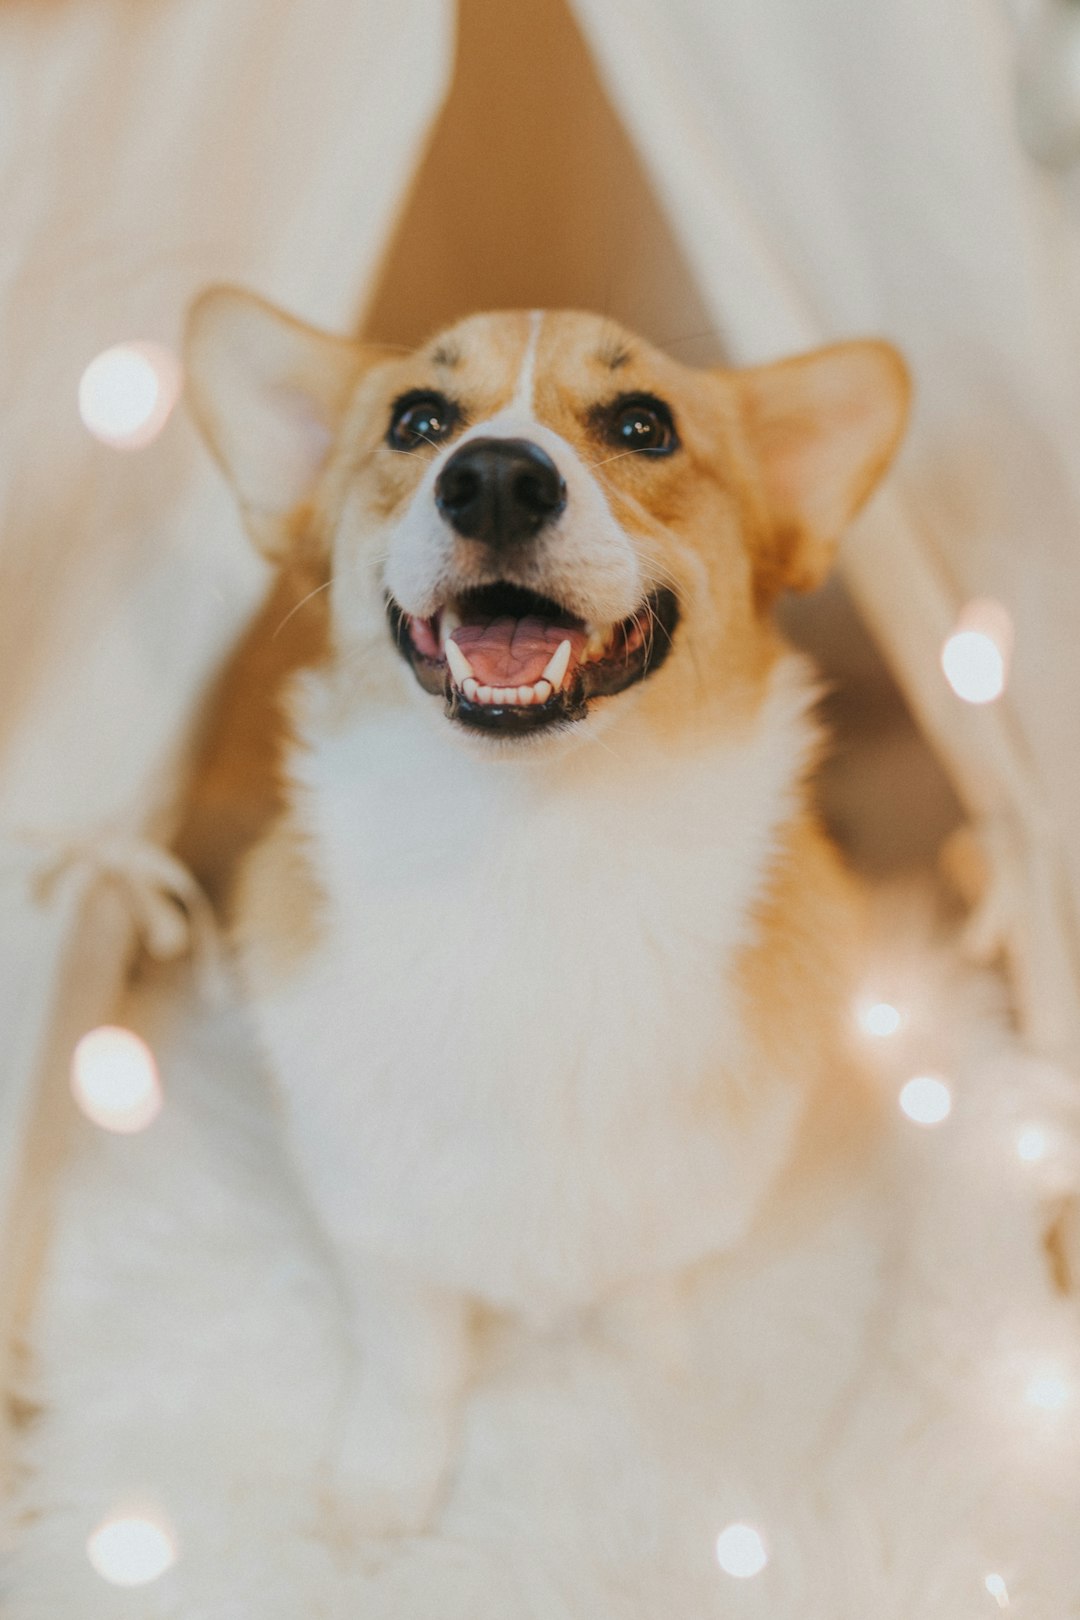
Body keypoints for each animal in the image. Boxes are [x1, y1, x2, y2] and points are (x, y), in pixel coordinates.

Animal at [186, 291, 913, 1529]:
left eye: (644, 425)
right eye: (416, 420)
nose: (493, 479)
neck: (533, 849)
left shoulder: (668, 1219)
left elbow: (638, 1323)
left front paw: (641, 1430)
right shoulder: (381, 1220)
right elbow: (412, 1357)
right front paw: (383, 1491)